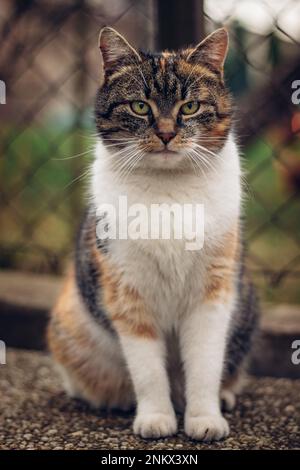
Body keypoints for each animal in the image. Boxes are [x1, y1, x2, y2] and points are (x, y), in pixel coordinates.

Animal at [48, 26, 258, 440]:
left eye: (189, 107)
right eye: (140, 107)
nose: (165, 134)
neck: (169, 191)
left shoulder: (214, 292)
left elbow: (205, 364)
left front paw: (205, 418)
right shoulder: (126, 290)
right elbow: (147, 369)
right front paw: (156, 417)